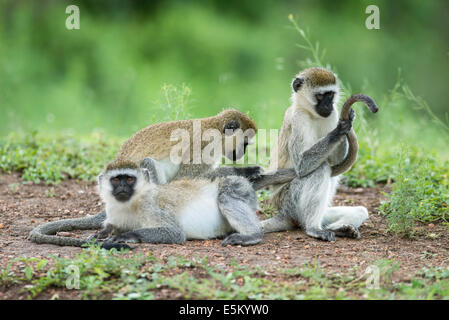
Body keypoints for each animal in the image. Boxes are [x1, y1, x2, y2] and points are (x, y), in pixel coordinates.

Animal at [262, 68, 378, 242]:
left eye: (330, 95)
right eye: (320, 96)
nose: (329, 105)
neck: (311, 114)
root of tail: (284, 213)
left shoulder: (333, 114)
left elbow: (334, 160)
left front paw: (348, 122)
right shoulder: (298, 119)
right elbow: (302, 165)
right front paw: (339, 129)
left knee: (360, 210)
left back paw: (341, 229)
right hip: (289, 202)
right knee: (320, 169)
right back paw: (313, 228)